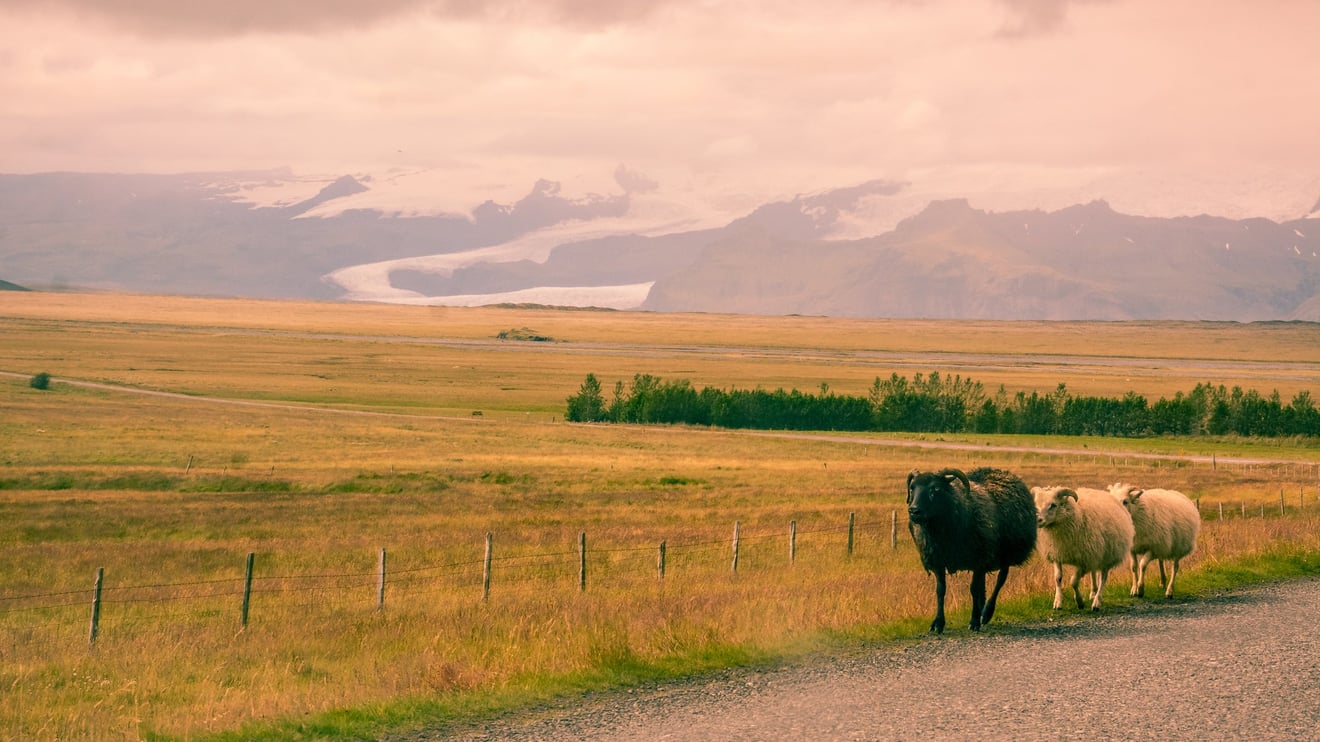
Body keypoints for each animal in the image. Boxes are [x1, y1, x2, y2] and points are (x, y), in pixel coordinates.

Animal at [902, 467, 1034, 628]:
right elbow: (940, 590)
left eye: (936, 488)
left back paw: (986, 614)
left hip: (1005, 554)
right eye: (912, 488)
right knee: (984, 584)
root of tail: (1003, 472)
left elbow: (973, 589)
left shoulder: (978, 559)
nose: (914, 510)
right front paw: (938, 623)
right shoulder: (938, 560)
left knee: (1000, 581)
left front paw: (974, 621)